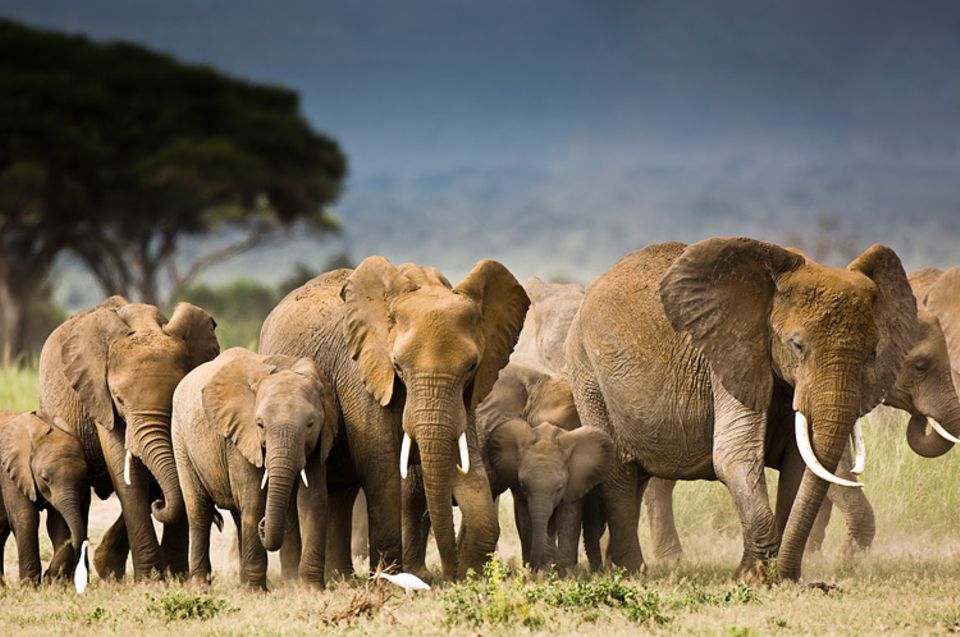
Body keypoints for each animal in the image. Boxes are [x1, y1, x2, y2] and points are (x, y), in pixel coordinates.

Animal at [0, 410, 89, 584]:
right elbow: (26, 518)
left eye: (82, 478)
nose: (48, 574)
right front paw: (30, 586)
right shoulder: (8, 473)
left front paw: (53, 581)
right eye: (45, 478)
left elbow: (58, 522)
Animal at [38, 296, 219, 580]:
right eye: (119, 400)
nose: (160, 503)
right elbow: (129, 478)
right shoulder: (99, 397)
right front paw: (150, 580)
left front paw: (175, 577)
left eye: (175, 395)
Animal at [171, 348, 340, 588]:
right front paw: (256, 591)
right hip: (181, 440)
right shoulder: (240, 436)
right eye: (260, 424)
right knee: (199, 511)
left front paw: (312, 589)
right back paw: (201, 586)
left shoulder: (319, 441)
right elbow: (254, 499)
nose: (264, 525)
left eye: (310, 424)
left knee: (238, 515)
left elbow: (312, 499)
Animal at [484, 418, 612, 572]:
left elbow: (568, 519)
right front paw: (536, 571)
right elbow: (526, 521)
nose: (536, 567)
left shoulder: (573, 483)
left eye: (559, 488)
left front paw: (565, 573)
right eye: (523, 487)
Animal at [568, 238, 920, 580]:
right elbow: (733, 456)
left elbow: (799, 466)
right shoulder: (730, 358)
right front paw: (753, 577)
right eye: (796, 345)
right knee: (619, 471)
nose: (790, 576)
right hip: (588, 374)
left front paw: (774, 574)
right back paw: (631, 572)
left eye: (872, 353)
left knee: (637, 475)